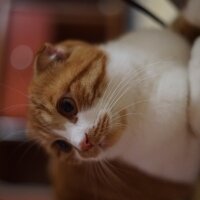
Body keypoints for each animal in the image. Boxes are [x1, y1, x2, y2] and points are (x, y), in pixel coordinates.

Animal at [28, 0, 200, 200]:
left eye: (66, 106)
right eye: (62, 146)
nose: (83, 144)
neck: (142, 100)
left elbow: (186, 21)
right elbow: (195, 112)